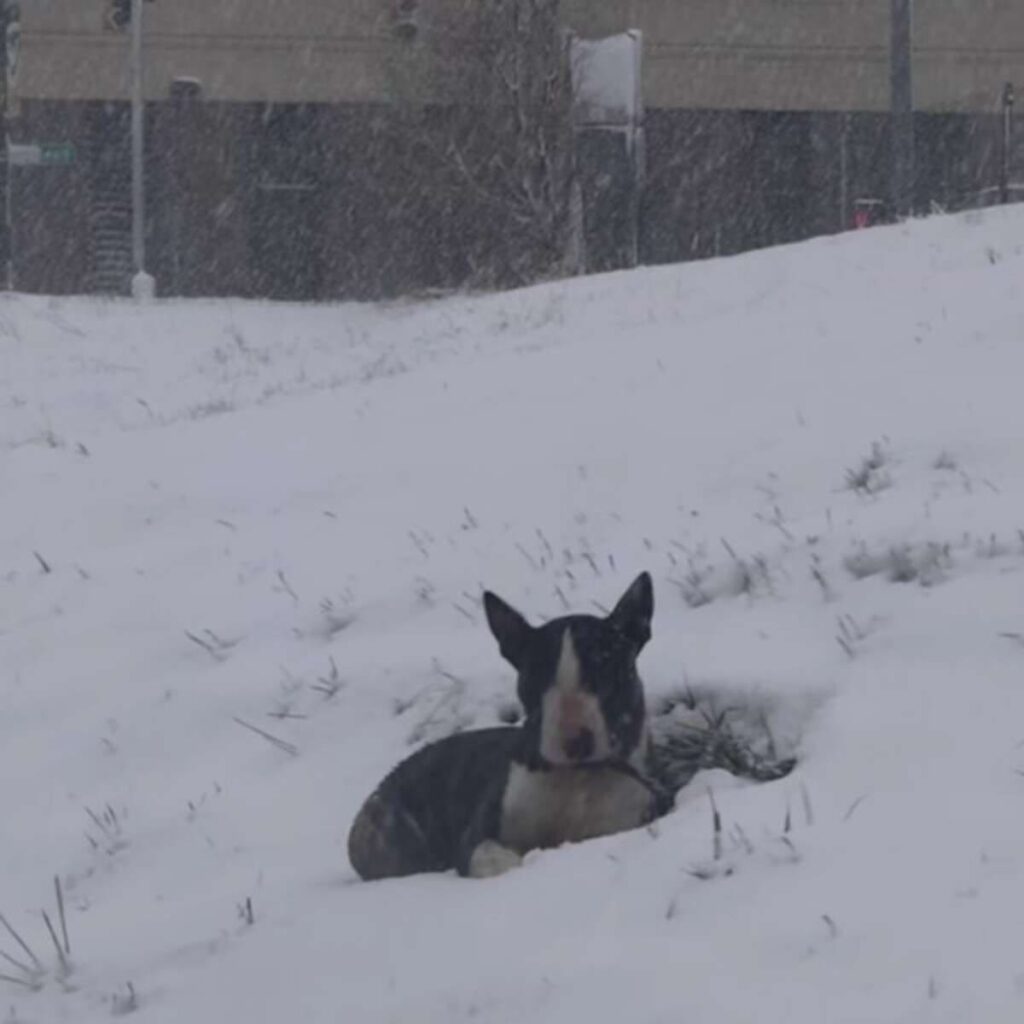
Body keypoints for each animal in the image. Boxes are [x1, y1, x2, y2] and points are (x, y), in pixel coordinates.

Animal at [346, 569, 671, 880]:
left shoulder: (626, 815)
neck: (577, 778)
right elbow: (485, 852)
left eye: (607, 671)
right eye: (535, 677)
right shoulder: (481, 828)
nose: (574, 740)